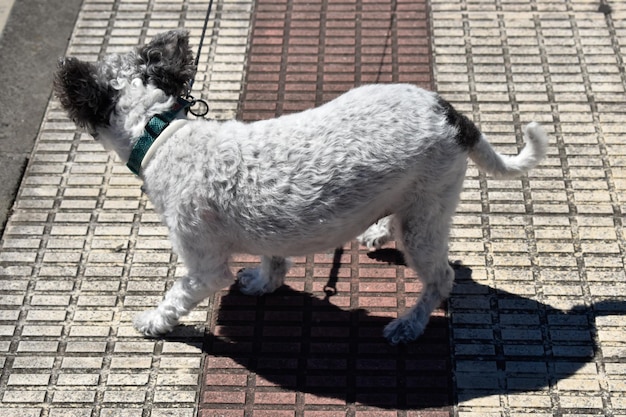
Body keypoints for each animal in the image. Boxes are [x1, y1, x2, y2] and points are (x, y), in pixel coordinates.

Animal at [52, 28, 544, 342]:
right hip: (420, 201)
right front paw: (263, 282)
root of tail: (453, 115)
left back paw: (409, 325)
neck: (160, 131)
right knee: (404, 225)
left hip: (427, 216)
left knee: (441, 279)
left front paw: (155, 322)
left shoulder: (202, 262)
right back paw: (378, 233)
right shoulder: (271, 235)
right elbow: (273, 260)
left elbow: (180, 295)